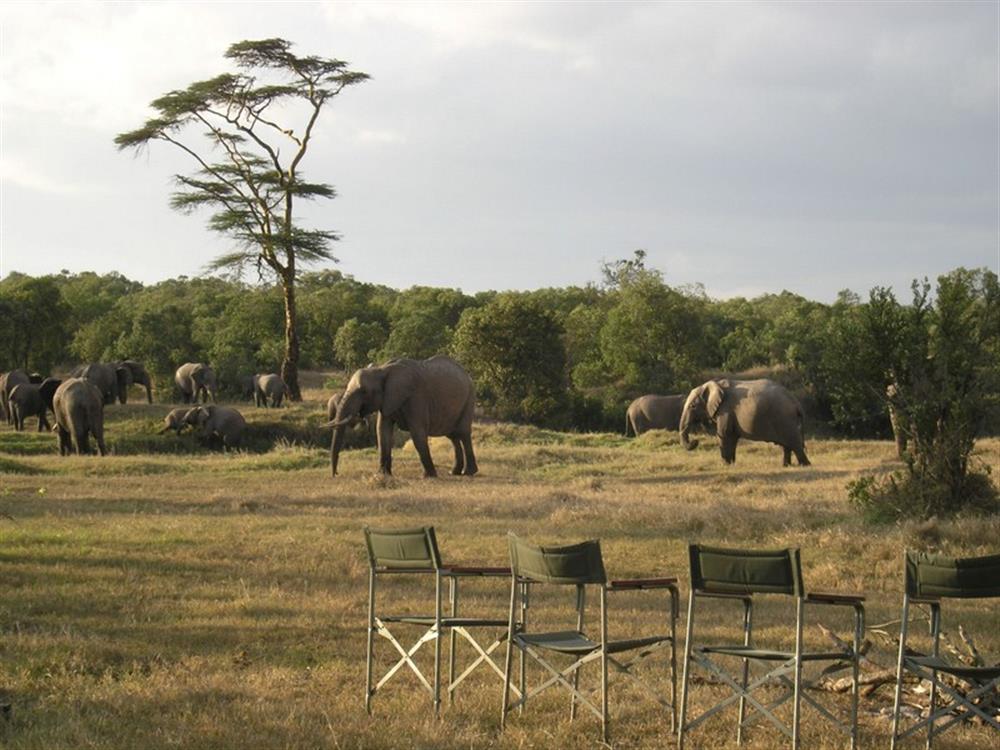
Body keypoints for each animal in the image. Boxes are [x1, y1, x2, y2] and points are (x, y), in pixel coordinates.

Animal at [326, 356, 478, 478]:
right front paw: (382, 475)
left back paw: (468, 473)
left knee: (463, 433)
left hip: (469, 399)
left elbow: (417, 434)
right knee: (453, 437)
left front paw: (429, 476)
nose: (336, 474)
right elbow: (382, 432)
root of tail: (467, 375)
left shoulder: (416, 397)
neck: (382, 370)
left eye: (364, 392)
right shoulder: (387, 400)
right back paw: (455, 472)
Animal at [676, 378, 808, 468]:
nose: (695, 441)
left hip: (785, 419)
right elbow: (732, 438)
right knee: (787, 445)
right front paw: (731, 465)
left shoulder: (725, 410)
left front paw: (725, 465)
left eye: (692, 406)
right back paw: (786, 466)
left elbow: (724, 435)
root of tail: (796, 403)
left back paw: (804, 465)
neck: (714, 385)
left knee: (794, 443)